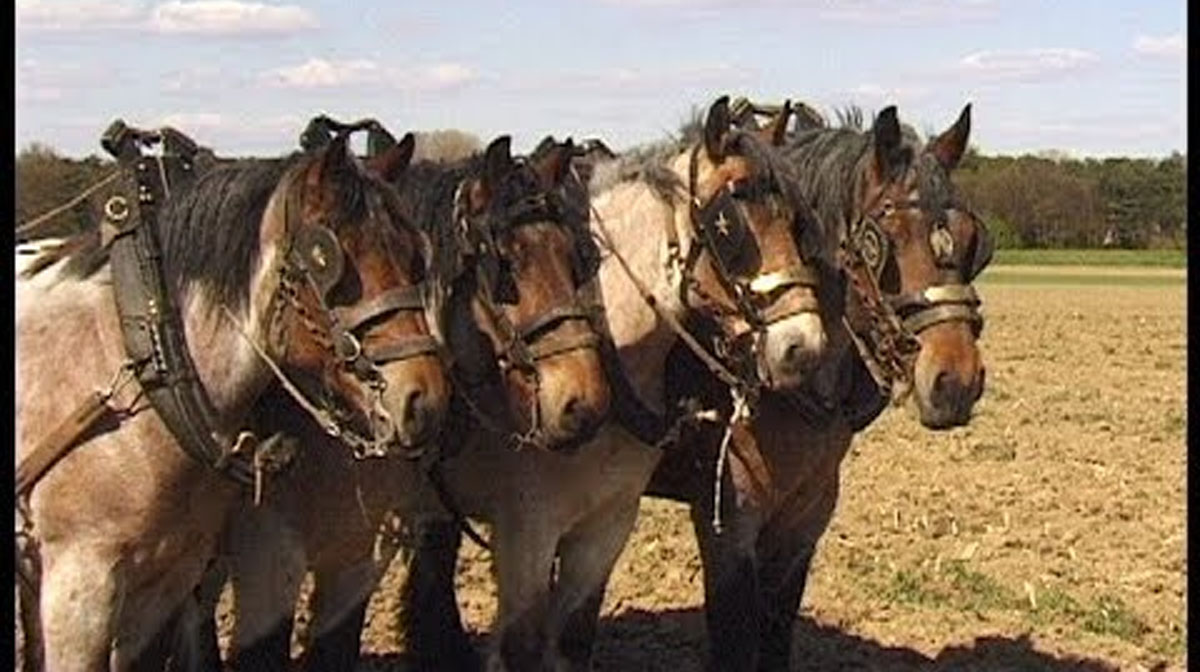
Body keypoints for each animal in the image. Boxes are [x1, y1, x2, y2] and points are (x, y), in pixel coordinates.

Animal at [14, 127, 451, 672]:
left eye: (416, 253)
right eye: (328, 261)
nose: (425, 399)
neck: (152, 368)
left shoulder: (164, 580)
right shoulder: (80, 585)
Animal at [648, 102, 993, 667]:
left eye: (972, 241)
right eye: (883, 244)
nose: (957, 381)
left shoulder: (804, 522)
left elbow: (777, 633)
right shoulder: (726, 526)